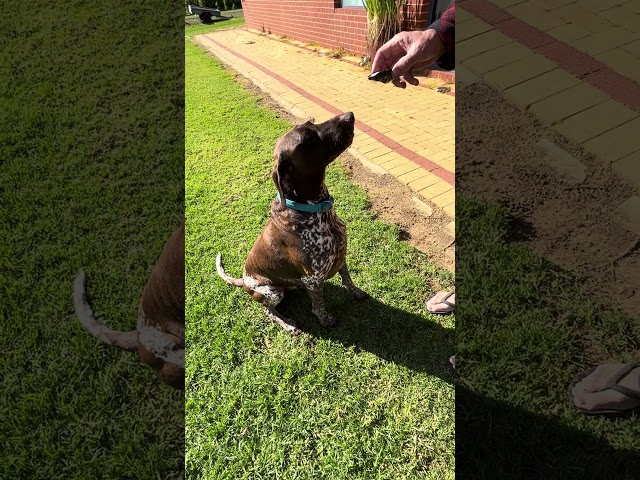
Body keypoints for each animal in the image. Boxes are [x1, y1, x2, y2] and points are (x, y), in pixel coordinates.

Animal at [216, 111, 368, 334]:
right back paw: (288, 325)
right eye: (308, 139)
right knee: (269, 311)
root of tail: (243, 280)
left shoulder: (341, 257)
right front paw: (325, 320)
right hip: (272, 292)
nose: (349, 116)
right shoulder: (312, 279)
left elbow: (347, 279)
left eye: (312, 123)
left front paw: (356, 292)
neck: (318, 213)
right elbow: (319, 306)